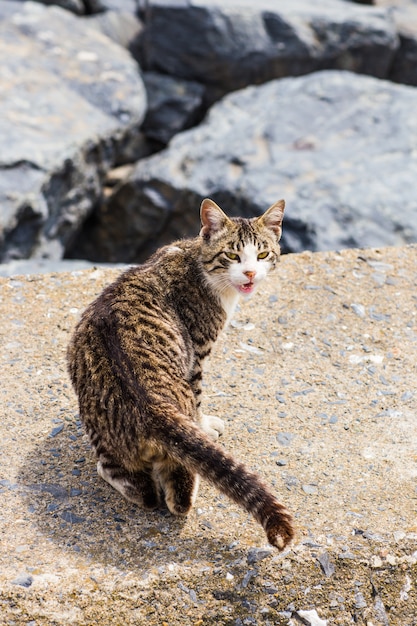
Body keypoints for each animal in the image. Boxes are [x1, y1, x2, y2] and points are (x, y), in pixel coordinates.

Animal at [67, 197, 292, 548]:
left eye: (263, 254)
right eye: (232, 255)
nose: (250, 273)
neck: (197, 261)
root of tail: (151, 408)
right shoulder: (197, 351)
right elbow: (200, 399)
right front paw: (205, 425)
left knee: (156, 491)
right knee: (160, 492)